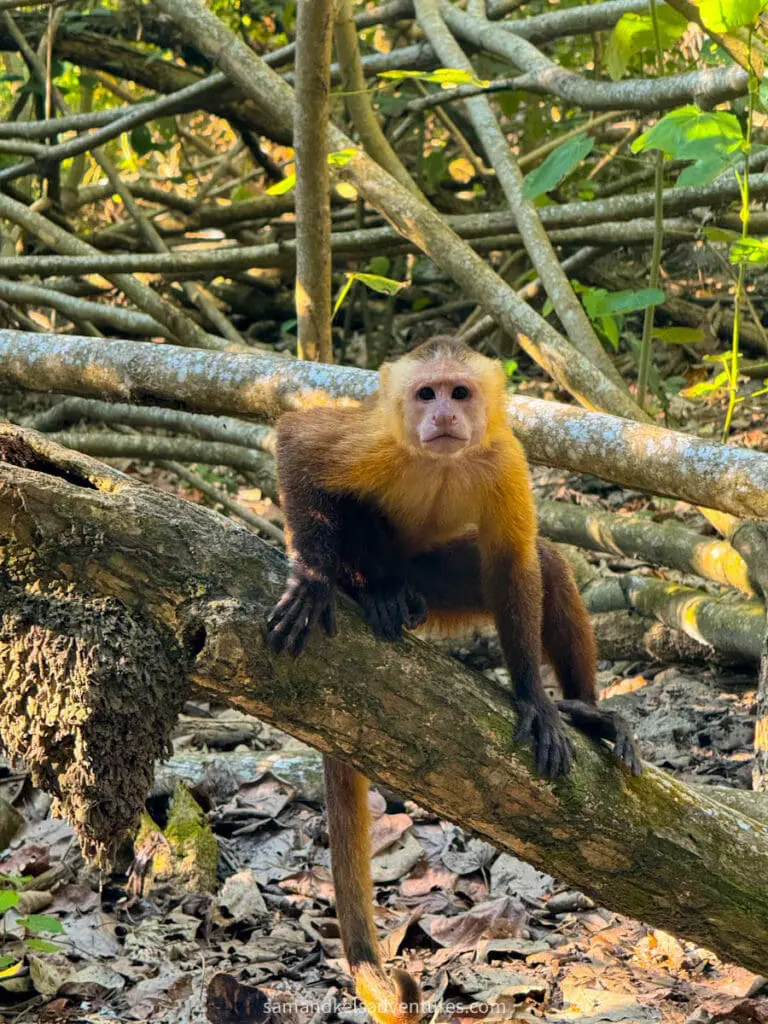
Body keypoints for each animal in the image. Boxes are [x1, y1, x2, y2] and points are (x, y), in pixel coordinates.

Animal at [265, 337, 641, 1024]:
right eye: (426, 394)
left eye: (459, 393)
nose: (441, 415)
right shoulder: (377, 440)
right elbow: (298, 443)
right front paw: (312, 574)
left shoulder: (504, 455)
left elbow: (516, 562)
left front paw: (536, 700)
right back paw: (373, 587)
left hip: (438, 583)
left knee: (546, 562)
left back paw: (587, 713)